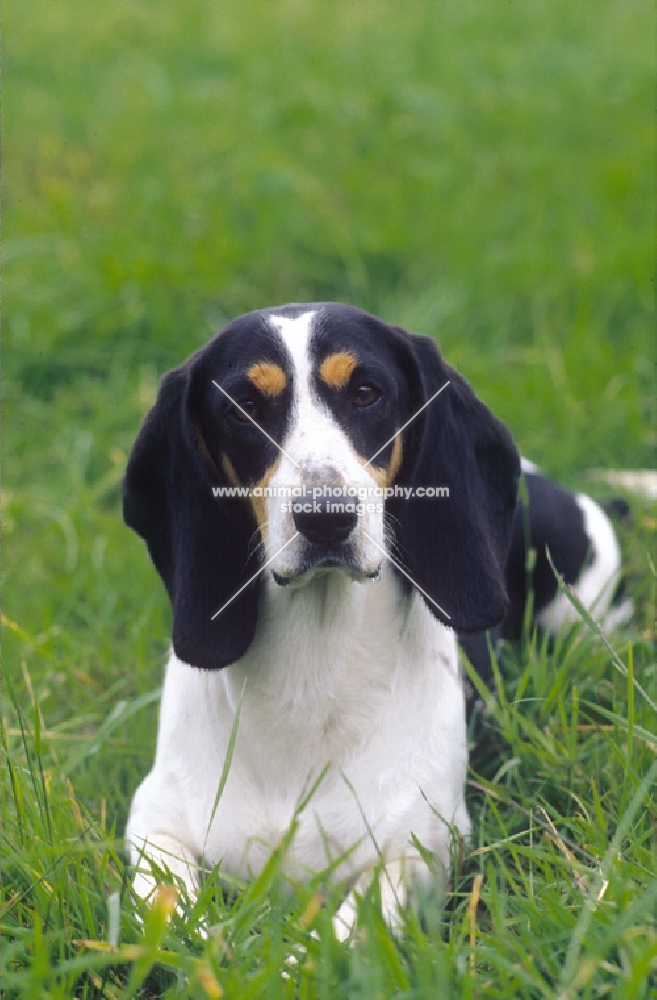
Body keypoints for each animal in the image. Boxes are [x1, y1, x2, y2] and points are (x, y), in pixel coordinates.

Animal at [123, 300, 624, 932]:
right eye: (243, 408)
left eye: (365, 393)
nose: (326, 516)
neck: (313, 675)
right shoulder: (154, 822)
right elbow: (173, 916)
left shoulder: (420, 848)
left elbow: (340, 934)